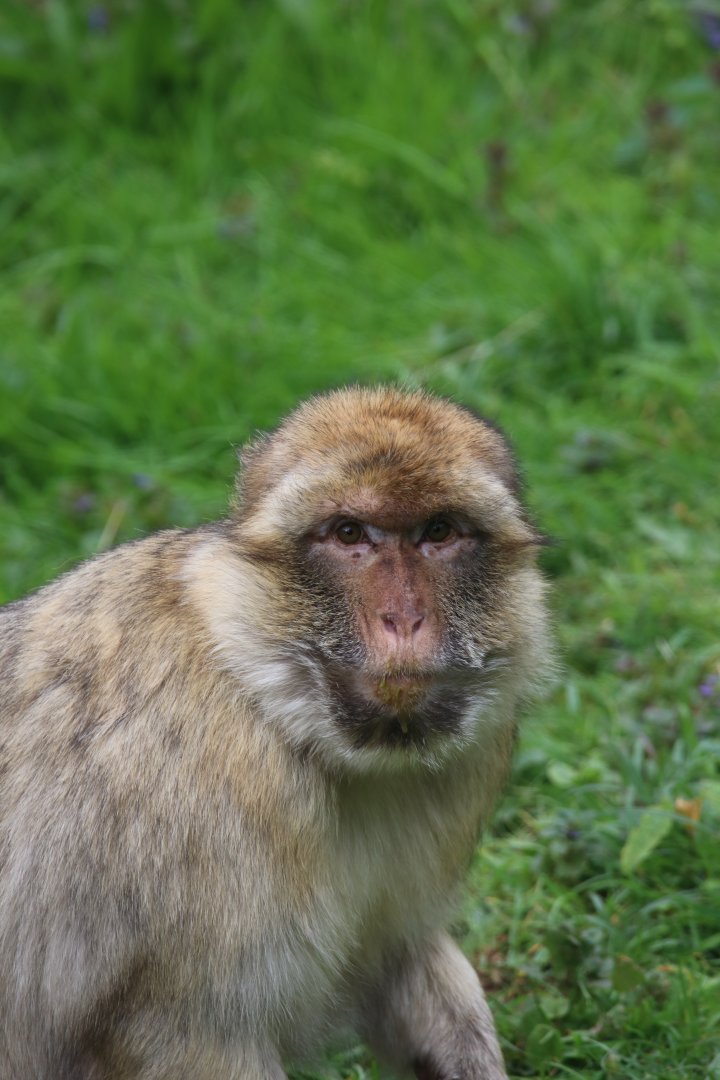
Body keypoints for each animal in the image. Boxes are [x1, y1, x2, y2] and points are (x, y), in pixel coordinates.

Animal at [0, 386, 552, 1080]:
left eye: (439, 533)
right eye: (349, 534)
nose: (403, 619)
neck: (264, 696)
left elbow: (400, 961)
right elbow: (184, 1033)